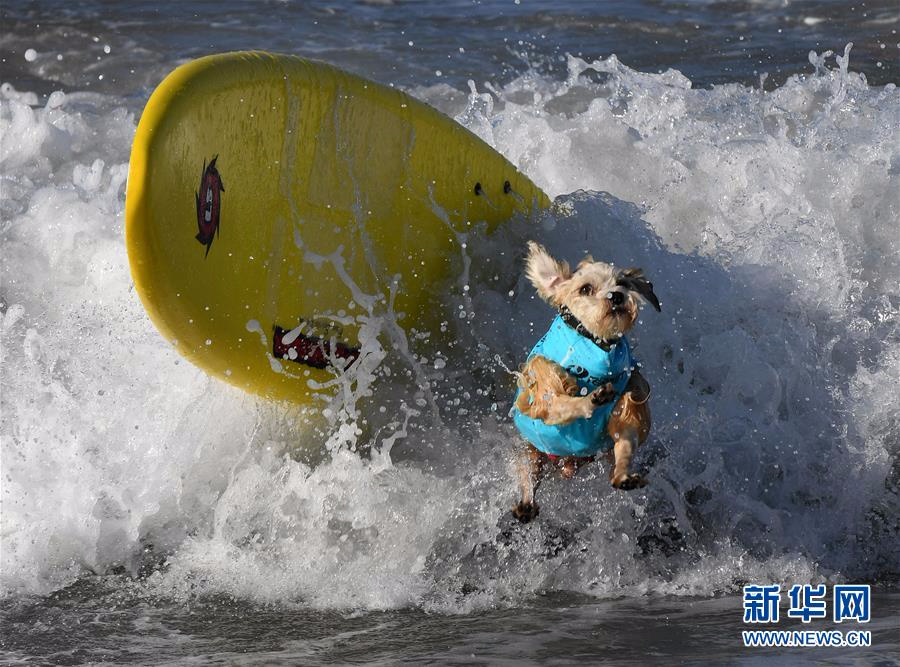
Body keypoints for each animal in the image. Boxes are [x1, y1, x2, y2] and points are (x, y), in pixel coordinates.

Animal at [510, 243, 664, 524]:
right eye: (585, 289)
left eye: (622, 282)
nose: (616, 296)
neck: (594, 343)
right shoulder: (546, 384)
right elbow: (559, 404)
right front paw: (587, 401)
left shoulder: (629, 399)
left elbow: (627, 434)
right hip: (531, 453)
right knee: (529, 477)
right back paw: (526, 504)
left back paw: (622, 476)